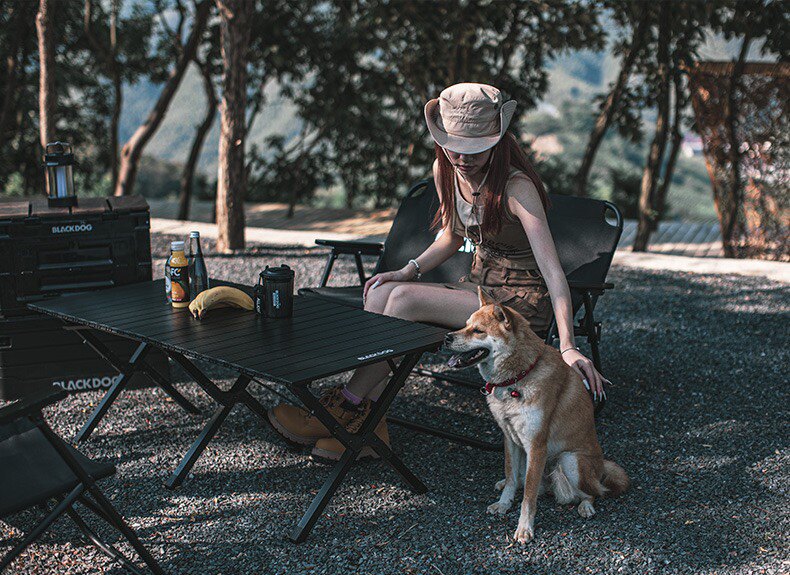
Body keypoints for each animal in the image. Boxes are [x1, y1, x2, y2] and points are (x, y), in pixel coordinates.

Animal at [443, 286, 629, 544]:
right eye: (465, 325)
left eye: (478, 330)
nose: (447, 337)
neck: (518, 376)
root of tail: (601, 467)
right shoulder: (510, 440)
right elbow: (512, 477)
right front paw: (504, 504)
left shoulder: (536, 445)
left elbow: (529, 496)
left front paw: (524, 528)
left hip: (569, 460)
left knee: (594, 492)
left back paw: (586, 506)